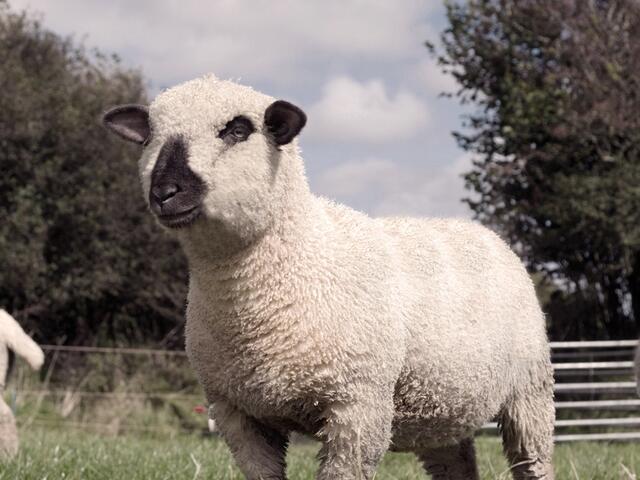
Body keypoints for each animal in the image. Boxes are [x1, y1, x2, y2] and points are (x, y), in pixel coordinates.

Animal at [103, 74, 555, 480]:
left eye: (238, 129)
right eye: (149, 136)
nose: (165, 192)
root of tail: (486, 232)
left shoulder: (358, 406)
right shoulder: (237, 413)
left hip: (529, 390)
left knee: (533, 461)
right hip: (443, 404)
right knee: (455, 462)